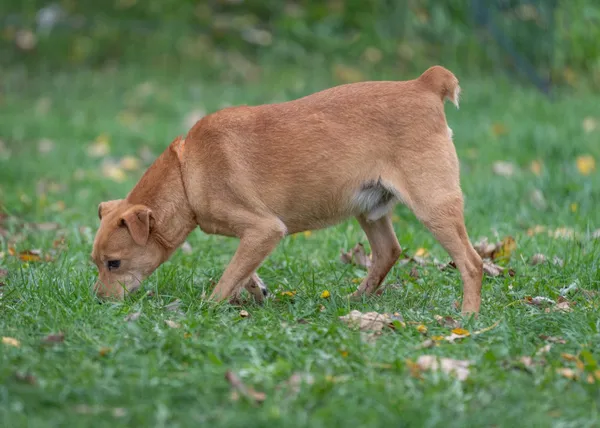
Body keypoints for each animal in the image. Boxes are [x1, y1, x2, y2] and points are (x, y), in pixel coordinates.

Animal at [92, 66, 482, 314]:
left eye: (114, 263)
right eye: (96, 263)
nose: (96, 301)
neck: (188, 173)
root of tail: (424, 83)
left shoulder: (265, 228)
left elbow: (226, 278)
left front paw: (206, 309)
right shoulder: (254, 237)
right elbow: (241, 270)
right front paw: (254, 289)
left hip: (433, 206)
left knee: (472, 263)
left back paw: (467, 318)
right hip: (369, 210)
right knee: (388, 252)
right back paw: (355, 301)